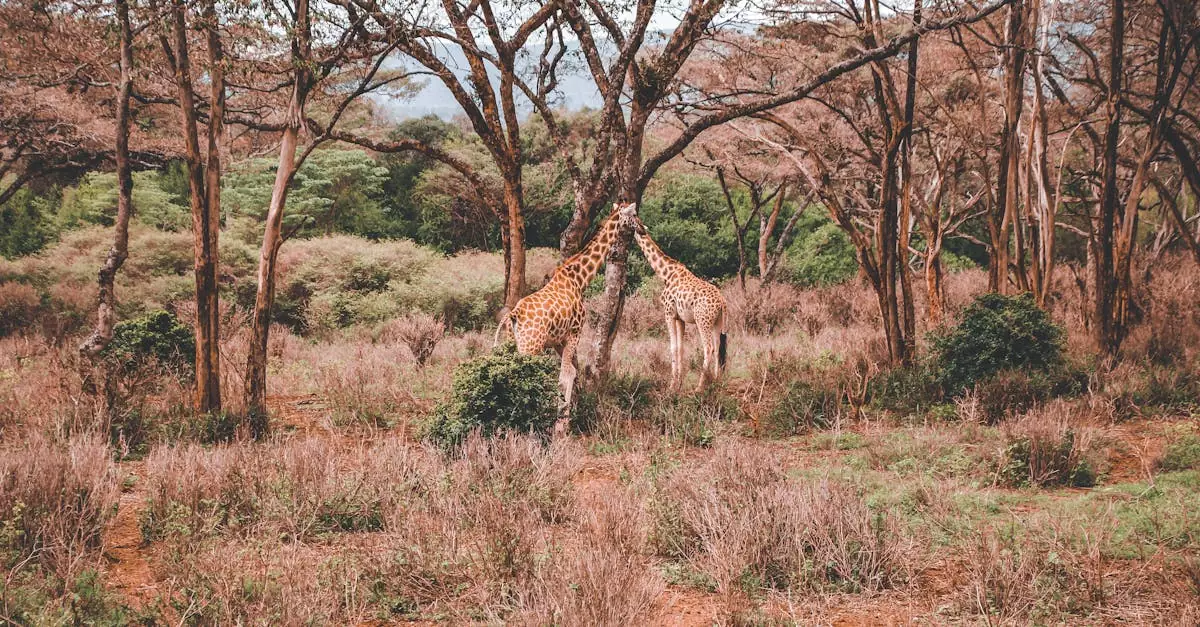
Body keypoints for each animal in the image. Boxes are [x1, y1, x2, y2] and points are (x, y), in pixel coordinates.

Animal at [494, 202, 637, 424]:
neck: (579, 279)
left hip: (514, 341)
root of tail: (513, 314)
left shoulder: (557, 340)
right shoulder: (575, 332)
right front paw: (562, 421)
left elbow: (569, 372)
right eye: (635, 214)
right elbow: (567, 373)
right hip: (530, 345)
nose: (643, 228)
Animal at [628, 216, 728, 392]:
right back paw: (716, 382)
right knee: (717, 348)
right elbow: (681, 348)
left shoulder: (668, 314)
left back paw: (700, 387)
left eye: (633, 218)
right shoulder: (680, 318)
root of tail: (722, 302)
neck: (665, 274)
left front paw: (671, 385)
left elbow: (673, 347)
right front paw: (679, 383)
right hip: (717, 322)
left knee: (709, 348)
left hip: (703, 321)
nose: (638, 230)